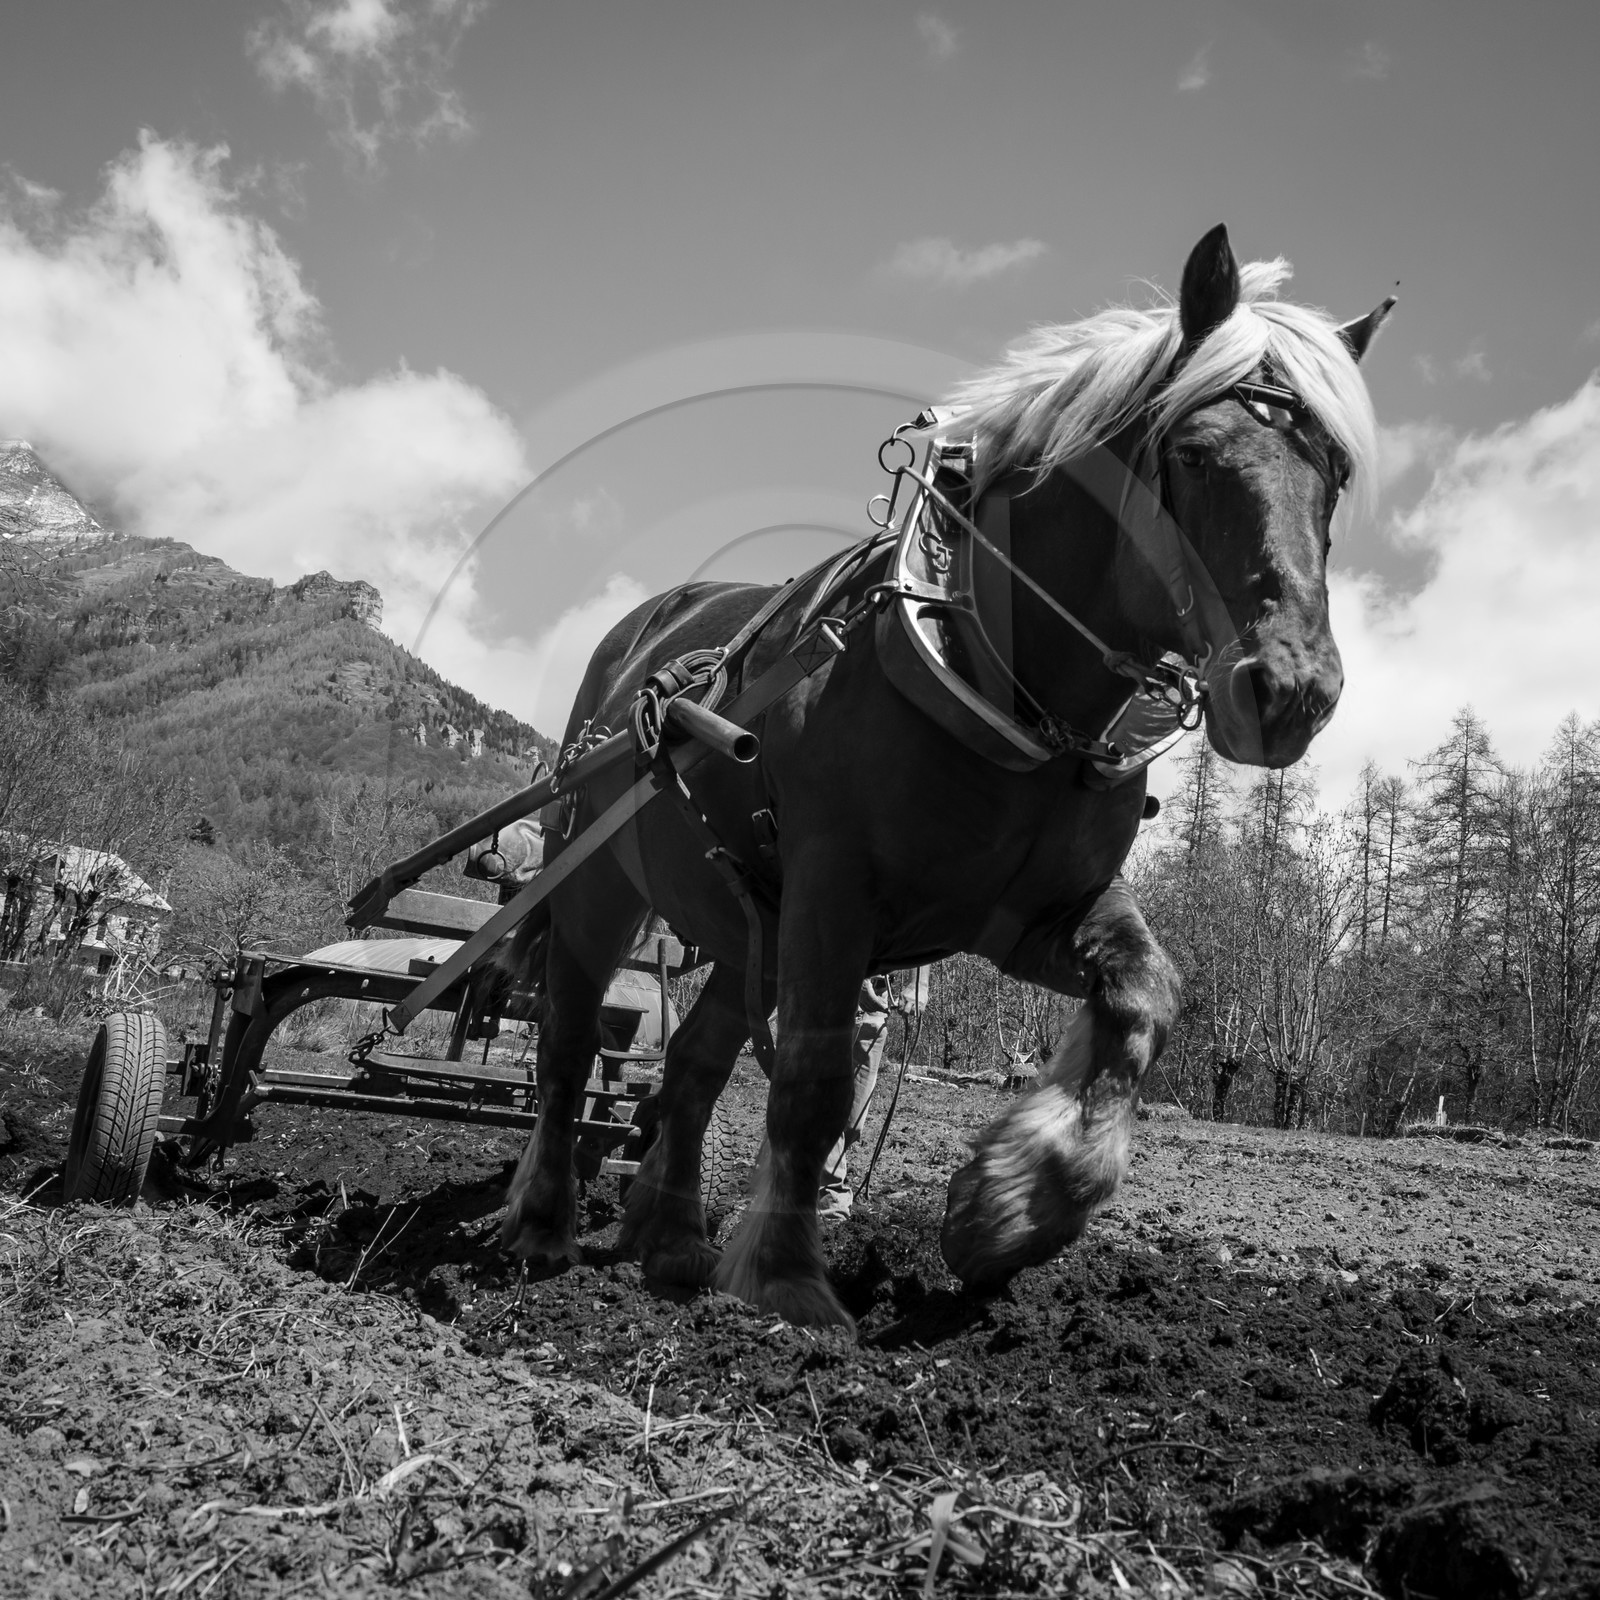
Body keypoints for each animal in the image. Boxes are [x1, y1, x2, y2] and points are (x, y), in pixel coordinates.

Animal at [498, 224, 1389, 1328]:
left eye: (1334, 472)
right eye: (1193, 454)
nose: (1290, 690)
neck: (999, 675)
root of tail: (639, 634)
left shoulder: (1026, 911)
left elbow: (1144, 998)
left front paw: (1011, 1207)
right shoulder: (835, 888)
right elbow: (815, 1082)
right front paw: (789, 1281)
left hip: (750, 923)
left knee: (693, 1059)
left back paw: (671, 1242)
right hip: (599, 884)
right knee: (572, 1038)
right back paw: (542, 1222)